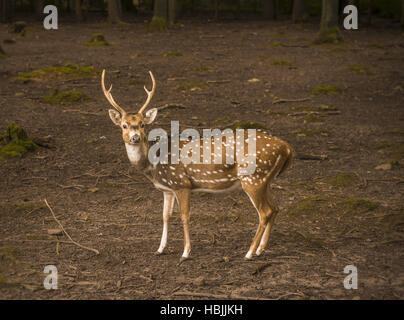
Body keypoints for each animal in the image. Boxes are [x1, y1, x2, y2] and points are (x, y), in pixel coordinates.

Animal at [102, 70, 294, 262]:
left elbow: (184, 216)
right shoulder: (167, 189)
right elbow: (165, 216)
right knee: (275, 207)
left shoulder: (182, 183)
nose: (135, 137)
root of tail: (287, 147)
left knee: (265, 212)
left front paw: (185, 252)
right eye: (124, 125)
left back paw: (249, 253)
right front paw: (160, 249)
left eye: (142, 124)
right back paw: (260, 249)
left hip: (253, 177)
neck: (153, 165)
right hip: (265, 180)